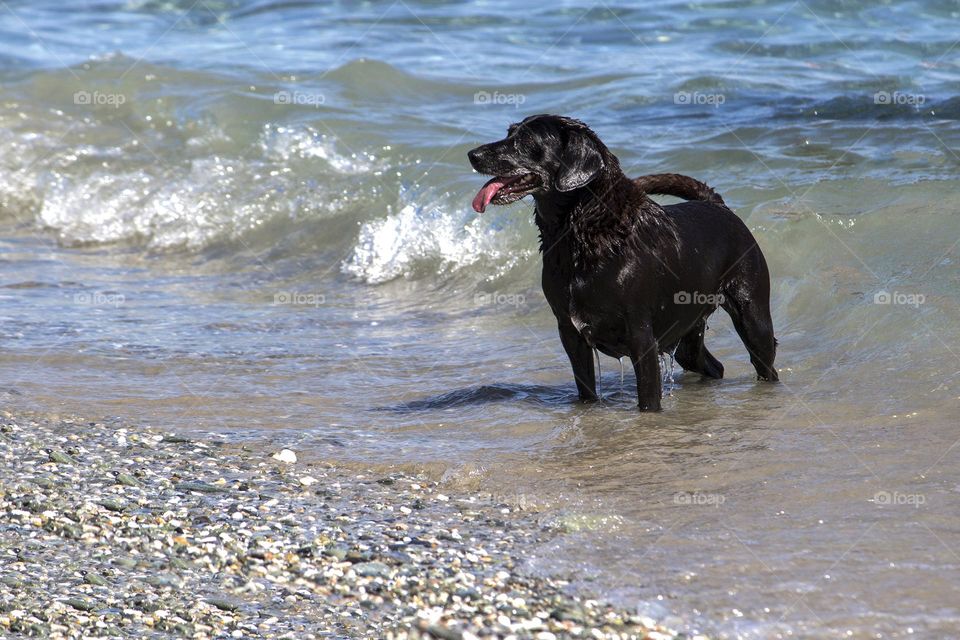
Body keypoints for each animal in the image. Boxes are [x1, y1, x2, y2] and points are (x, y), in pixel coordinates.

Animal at [468, 114, 776, 410]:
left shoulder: (641, 337)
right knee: (711, 364)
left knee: (765, 363)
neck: (583, 236)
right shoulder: (570, 333)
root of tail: (717, 204)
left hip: (752, 315)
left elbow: (648, 399)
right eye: (509, 133)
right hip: (689, 331)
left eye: (527, 140)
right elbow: (586, 391)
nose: (472, 154)